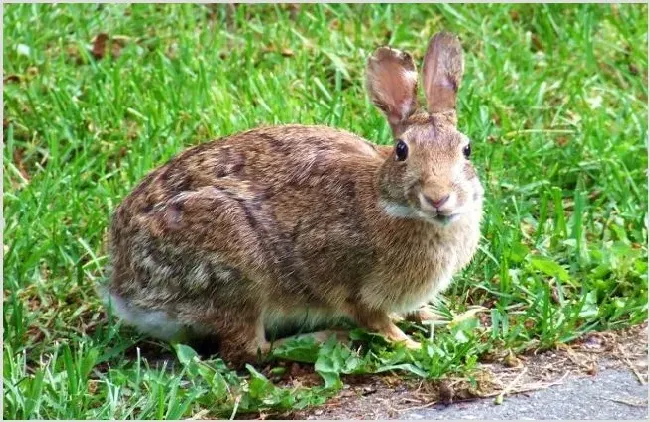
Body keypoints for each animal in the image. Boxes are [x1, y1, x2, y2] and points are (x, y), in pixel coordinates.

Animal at [104, 32, 480, 362]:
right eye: (402, 150)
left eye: (466, 149)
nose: (438, 198)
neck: (388, 199)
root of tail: (124, 288)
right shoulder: (349, 285)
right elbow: (376, 321)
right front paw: (414, 346)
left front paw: (449, 318)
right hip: (237, 274)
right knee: (248, 351)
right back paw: (329, 337)